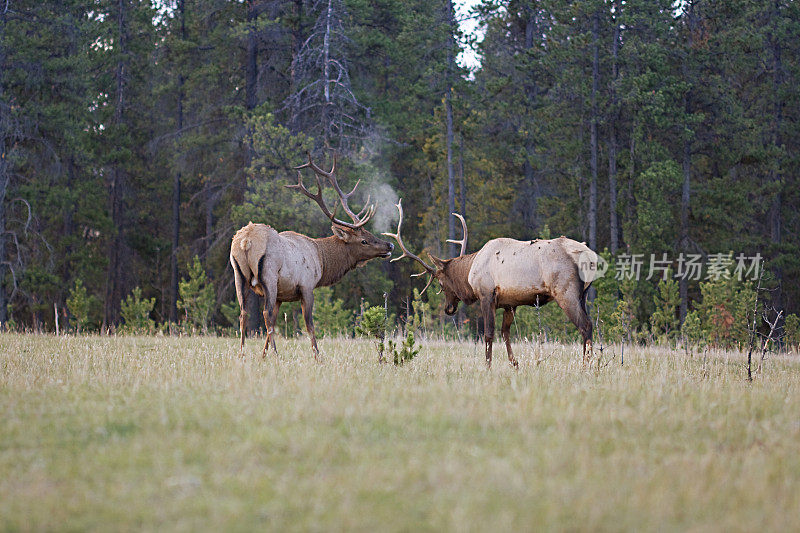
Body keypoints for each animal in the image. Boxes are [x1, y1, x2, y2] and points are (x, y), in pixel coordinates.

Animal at [228, 154, 394, 358]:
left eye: (370, 234)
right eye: (364, 240)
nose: (389, 245)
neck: (322, 261)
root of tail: (246, 241)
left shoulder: (282, 295)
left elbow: (274, 323)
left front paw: (263, 355)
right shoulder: (307, 286)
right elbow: (309, 325)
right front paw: (317, 356)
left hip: (238, 274)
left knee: (244, 313)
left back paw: (242, 353)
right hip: (269, 275)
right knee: (265, 313)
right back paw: (276, 354)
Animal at [382, 200, 600, 366]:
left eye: (442, 284)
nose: (448, 309)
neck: (470, 272)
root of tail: (592, 258)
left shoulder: (486, 295)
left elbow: (488, 334)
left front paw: (487, 367)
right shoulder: (510, 303)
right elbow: (506, 333)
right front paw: (515, 364)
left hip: (566, 292)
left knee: (586, 325)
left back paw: (586, 366)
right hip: (583, 295)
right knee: (587, 325)